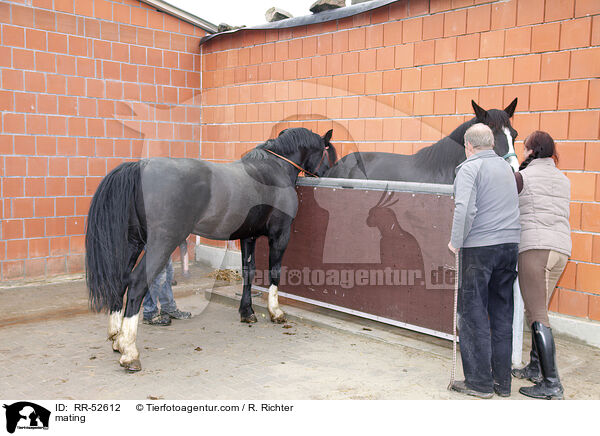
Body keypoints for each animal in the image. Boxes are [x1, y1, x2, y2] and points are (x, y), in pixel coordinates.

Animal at [85, 127, 338, 372]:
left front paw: (247, 312)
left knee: (120, 280)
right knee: (137, 284)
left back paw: (117, 339)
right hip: (161, 244)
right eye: (330, 154)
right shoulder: (280, 234)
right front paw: (275, 312)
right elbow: (274, 272)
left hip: (133, 243)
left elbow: (249, 272)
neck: (274, 170)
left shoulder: (248, 237)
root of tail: (140, 167)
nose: (331, 175)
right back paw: (130, 352)